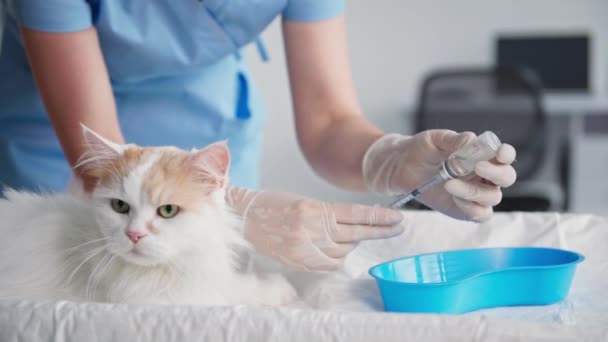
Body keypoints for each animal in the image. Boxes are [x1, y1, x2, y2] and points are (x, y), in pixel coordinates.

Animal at [0, 126, 296, 308]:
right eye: (120, 206)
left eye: (168, 210)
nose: (134, 234)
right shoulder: (173, 300)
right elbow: (228, 294)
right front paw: (279, 289)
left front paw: (278, 289)